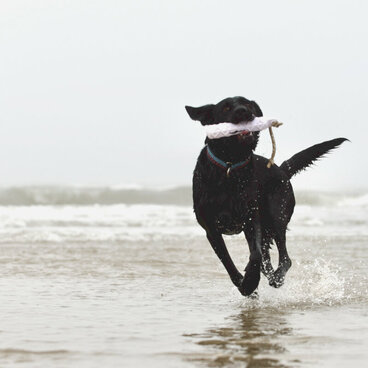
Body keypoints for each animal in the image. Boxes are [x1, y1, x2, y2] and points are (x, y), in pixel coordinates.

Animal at [185, 97, 346, 296]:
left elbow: (256, 255)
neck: (230, 166)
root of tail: (282, 169)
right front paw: (245, 283)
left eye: (248, 104)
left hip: (276, 215)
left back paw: (276, 277)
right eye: (226, 107)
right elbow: (228, 261)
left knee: (284, 258)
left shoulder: (252, 218)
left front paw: (250, 282)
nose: (243, 111)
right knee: (268, 260)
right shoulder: (211, 229)